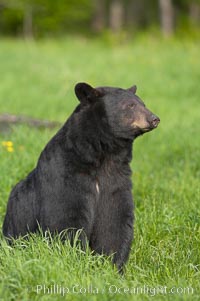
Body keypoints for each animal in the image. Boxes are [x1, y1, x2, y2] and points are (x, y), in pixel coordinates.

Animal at [2, 82, 160, 272]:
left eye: (143, 103)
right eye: (130, 105)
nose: (154, 118)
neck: (103, 156)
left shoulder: (116, 180)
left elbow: (114, 221)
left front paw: (112, 266)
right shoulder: (67, 176)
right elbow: (67, 219)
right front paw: (76, 261)